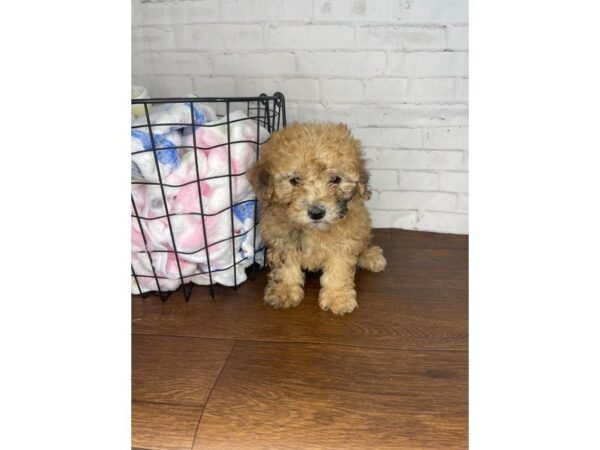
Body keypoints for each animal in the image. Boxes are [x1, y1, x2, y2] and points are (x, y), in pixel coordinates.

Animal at [247, 121, 384, 314]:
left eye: (336, 179)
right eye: (295, 180)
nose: (317, 213)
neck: (314, 229)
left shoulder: (344, 241)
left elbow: (339, 268)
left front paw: (338, 297)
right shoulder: (282, 241)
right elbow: (285, 268)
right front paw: (284, 291)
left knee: (363, 243)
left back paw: (371, 256)